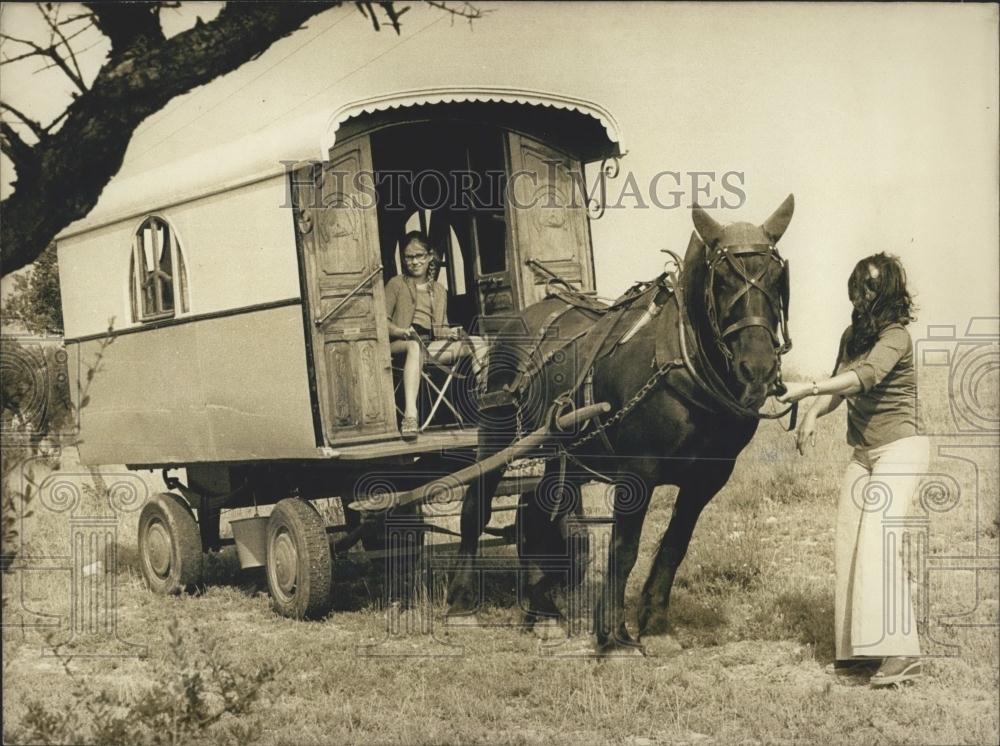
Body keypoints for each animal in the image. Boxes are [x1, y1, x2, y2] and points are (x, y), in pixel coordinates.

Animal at [450, 193, 792, 652]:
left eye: (777, 278)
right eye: (720, 280)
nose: (756, 367)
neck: (682, 362)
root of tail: (521, 317)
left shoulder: (708, 478)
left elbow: (674, 546)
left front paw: (656, 625)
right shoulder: (637, 473)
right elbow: (625, 548)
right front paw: (612, 636)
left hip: (565, 454)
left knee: (536, 514)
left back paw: (544, 611)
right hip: (499, 433)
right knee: (476, 503)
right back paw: (461, 604)